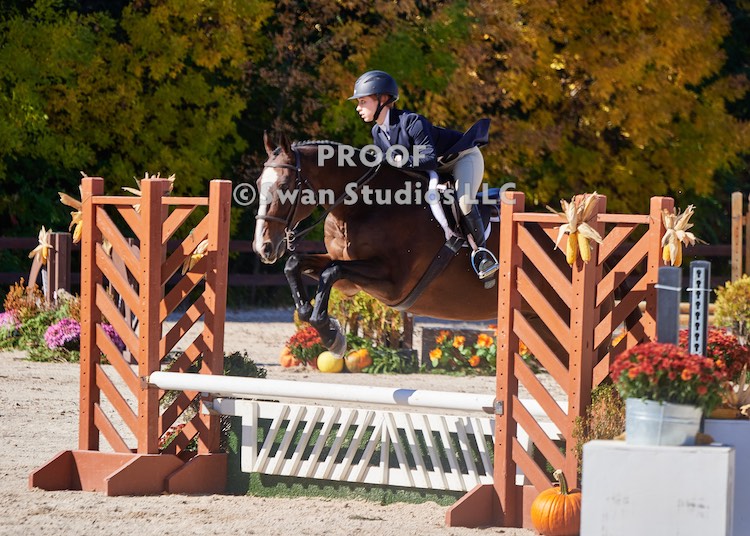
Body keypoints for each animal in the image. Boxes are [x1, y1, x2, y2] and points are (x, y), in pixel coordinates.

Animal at [252, 134, 596, 358]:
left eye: (285, 186)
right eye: (257, 184)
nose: (263, 247)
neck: (362, 206)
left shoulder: (393, 284)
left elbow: (330, 272)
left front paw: (331, 335)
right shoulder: (350, 280)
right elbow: (298, 265)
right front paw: (325, 328)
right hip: (541, 322)